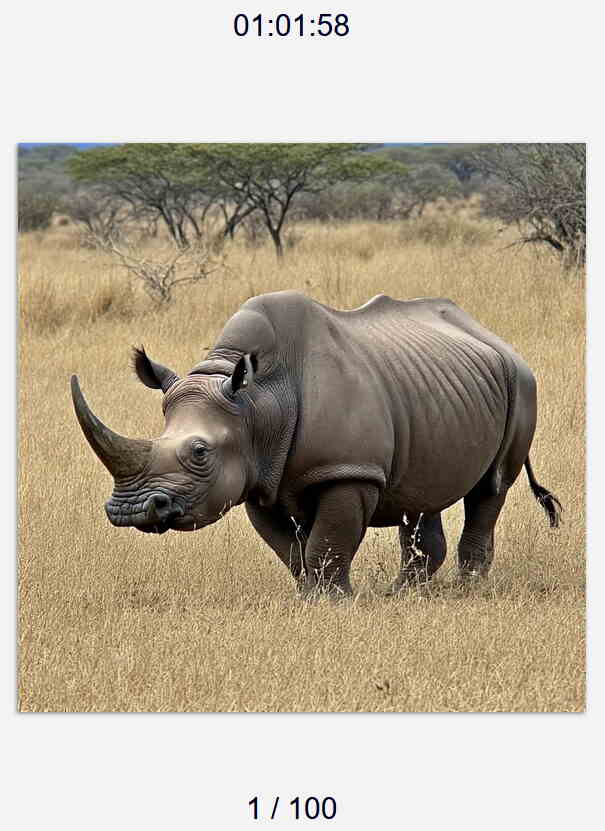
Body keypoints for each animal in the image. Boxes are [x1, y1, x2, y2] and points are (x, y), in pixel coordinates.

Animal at [71, 291, 561, 597]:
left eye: (199, 453)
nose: (131, 512)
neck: (257, 403)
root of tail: (492, 336)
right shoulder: (259, 476)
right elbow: (290, 549)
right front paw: (307, 596)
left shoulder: (347, 470)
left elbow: (328, 540)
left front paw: (331, 601)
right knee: (422, 495)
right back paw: (404, 593)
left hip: (523, 381)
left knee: (490, 488)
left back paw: (466, 589)